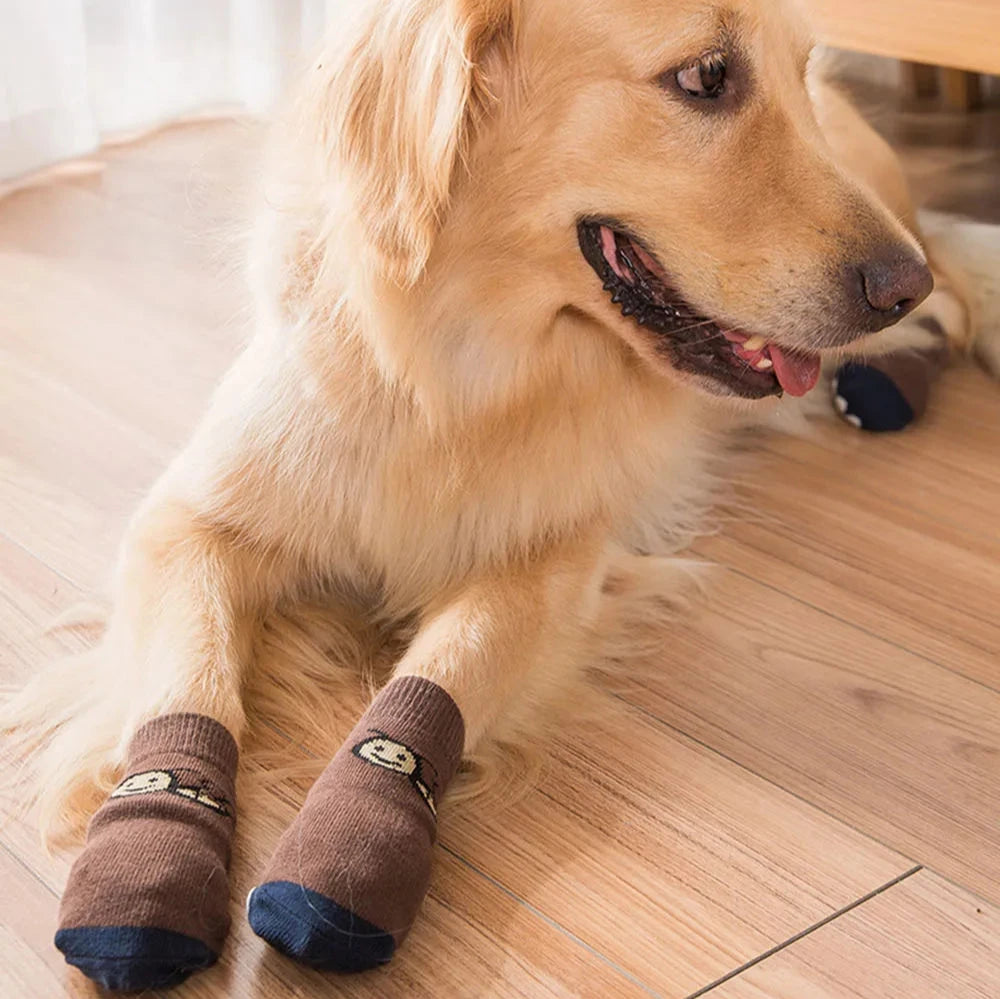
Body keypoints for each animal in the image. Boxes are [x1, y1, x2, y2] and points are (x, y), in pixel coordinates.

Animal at [3, 0, 996, 988]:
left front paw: (342, 851)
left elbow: (440, 673)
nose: (894, 285)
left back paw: (891, 374)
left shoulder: (552, 557)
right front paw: (147, 862)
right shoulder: (186, 522)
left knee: (953, 294)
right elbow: (190, 680)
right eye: (707, 76)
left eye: (798, 65)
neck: (455, 370)